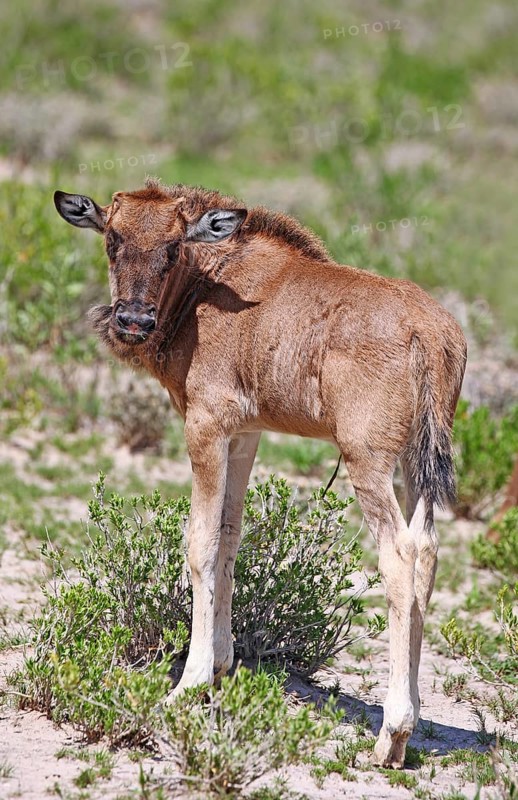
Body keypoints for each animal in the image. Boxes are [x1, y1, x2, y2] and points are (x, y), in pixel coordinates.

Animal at [54, 180, 466, 769]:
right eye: (113, 237)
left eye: (174, 247)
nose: (132, 323)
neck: (209, 288)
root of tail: (431, 335)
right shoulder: (244, 434)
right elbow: (229, 537)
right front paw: (222, 667)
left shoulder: (205, 426)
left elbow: (200, 544)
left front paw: (189, 684)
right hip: (417, 465)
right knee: (427, 554)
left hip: (367, 460)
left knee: (400, 557)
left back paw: (392, 733)